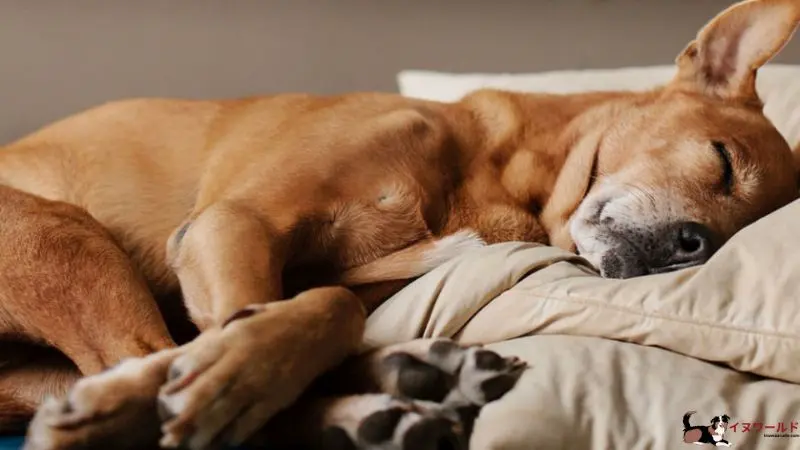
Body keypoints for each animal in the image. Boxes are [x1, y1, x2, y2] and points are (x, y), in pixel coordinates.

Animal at [0, 0, 796, 450]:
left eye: (745, 226)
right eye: (724, 164)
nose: (698, 246)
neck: (500, 177)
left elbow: (333, 311)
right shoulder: (235, 222)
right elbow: (303, 313)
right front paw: (234, 378)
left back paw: (405, 389)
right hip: (63, 236)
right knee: (143, 354)